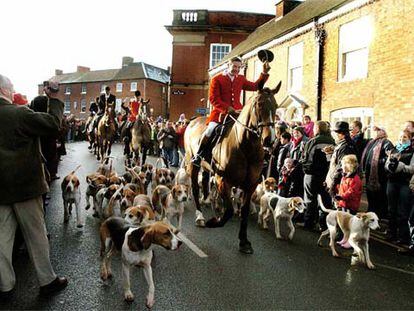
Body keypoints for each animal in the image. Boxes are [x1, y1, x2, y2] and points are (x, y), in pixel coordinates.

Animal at [184, 81, 282, 255]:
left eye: (276, 106)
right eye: (259, 104)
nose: (269, 140)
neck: (245, 147)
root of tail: (194, 120)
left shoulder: (250, 185)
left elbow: (244, 211)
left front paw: (244, 241)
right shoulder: (223, 181)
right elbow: (229, 210)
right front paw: (214, 221)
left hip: (206, 168)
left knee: (204, 183)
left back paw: (206, 200)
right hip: (192, 164)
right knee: (195, 188)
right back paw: (200, 216)